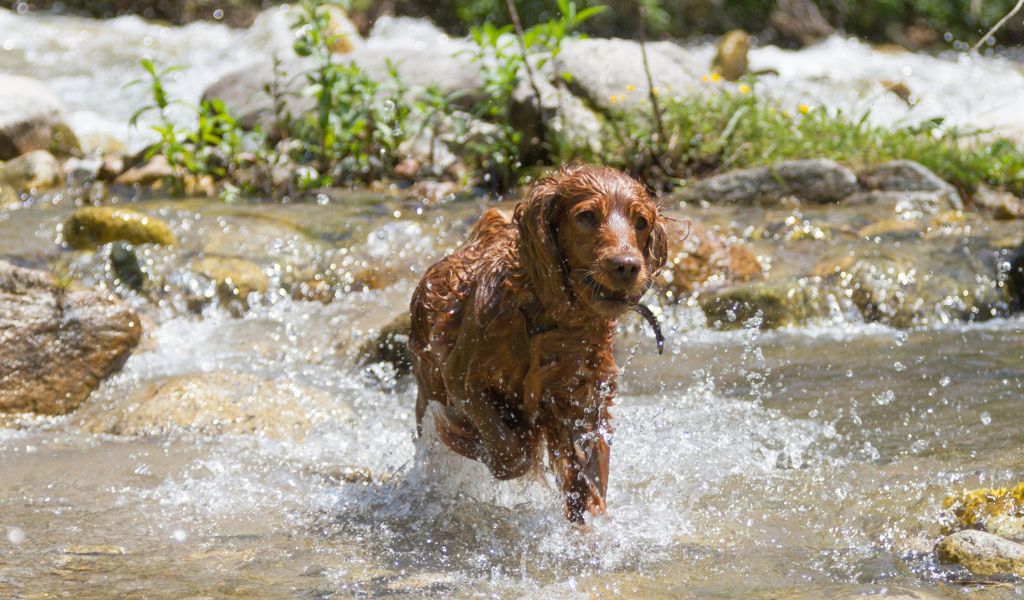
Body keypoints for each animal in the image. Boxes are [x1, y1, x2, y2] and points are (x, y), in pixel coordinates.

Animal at [411, 165, 667, 520]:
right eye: (586, 216)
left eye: (641, 221)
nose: (628, 265)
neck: (549, 319)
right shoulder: (461, 380)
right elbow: (509, 451)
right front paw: (483, 443)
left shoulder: (584, 399)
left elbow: (588, 481)